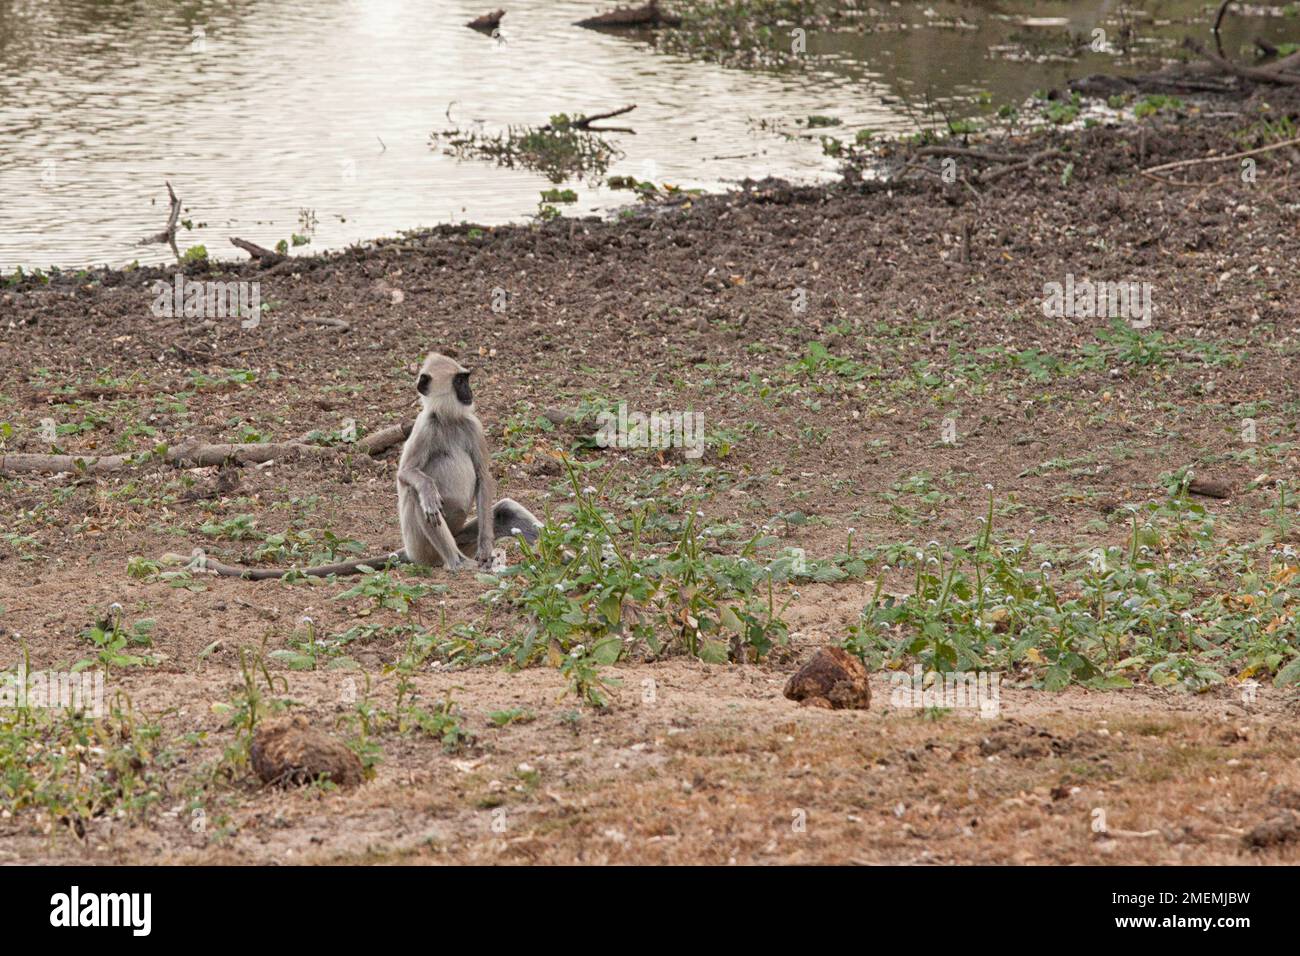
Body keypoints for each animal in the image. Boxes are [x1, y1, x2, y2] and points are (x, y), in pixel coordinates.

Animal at [189, 352, 542, 580]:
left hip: (458, 534)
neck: (448, 418)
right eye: (459, 382)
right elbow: (406, 475)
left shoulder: (472, 424)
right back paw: (456, 562)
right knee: (419, 497)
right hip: (423, 546)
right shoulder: (423, 426)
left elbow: (483, 477)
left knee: (503, 511)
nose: (469, 393)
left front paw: (487, 547)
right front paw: (426, 488)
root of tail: (411, 551)